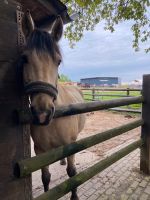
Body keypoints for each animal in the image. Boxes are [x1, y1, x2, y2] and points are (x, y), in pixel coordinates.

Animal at [18, 10, 85, 200]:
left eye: (58, 61)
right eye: (24, 58)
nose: (43, 113)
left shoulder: (70, 146)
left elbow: (72, 173)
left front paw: (74, 196)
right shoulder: (40, 151)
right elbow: (45, 177)